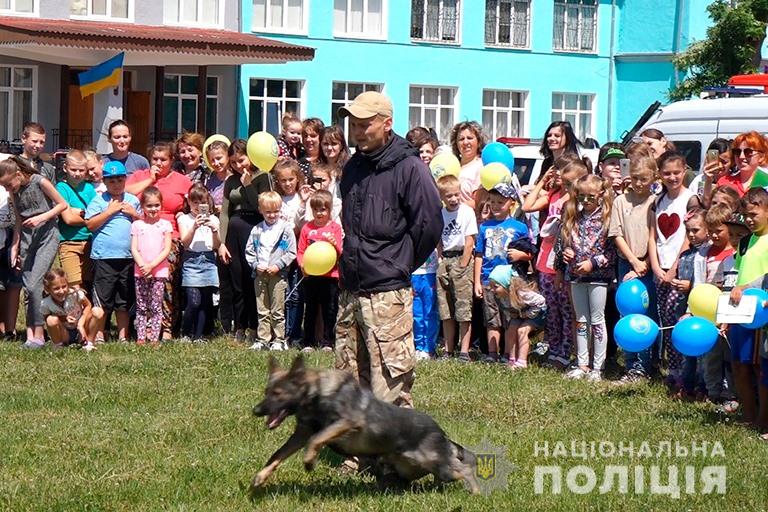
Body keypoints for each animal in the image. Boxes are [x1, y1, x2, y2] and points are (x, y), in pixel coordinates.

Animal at [252, 354, 480, 494]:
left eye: (278, 393)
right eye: (267, 391)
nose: (256, 411)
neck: (317, 392)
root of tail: (441, 433)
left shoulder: (348, 422)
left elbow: (317, 439)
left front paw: (309, 461)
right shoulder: (300, 434)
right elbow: (278, 455)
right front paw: (260, 477)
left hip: (432, 462)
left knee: (464, 469)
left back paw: (476, 492)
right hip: (413, 468)